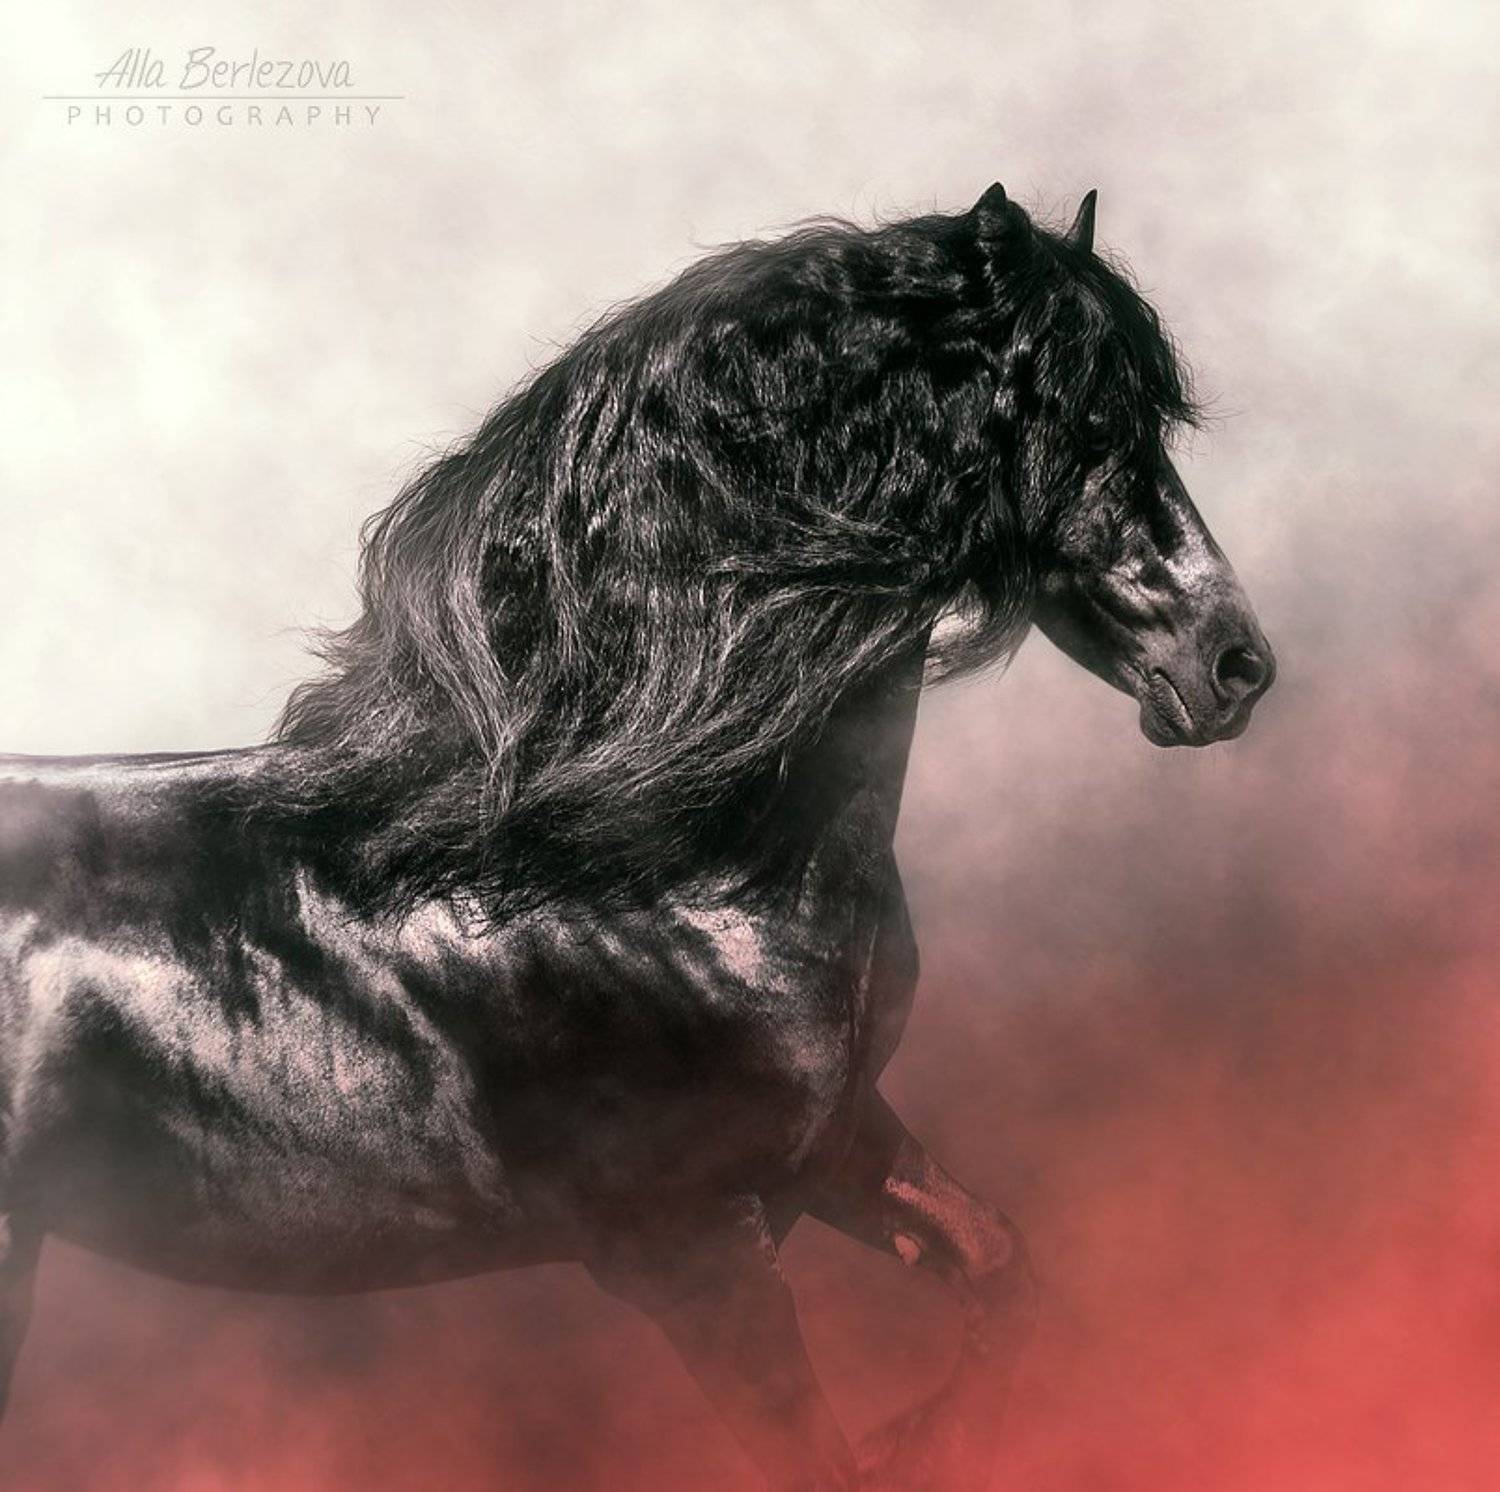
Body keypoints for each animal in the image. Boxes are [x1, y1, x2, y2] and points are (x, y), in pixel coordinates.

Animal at [0, 182, 1273, 1490]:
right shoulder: (689, 1253)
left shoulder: (835, 1145)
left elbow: (998, 1267)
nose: (1235, 666)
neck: (657, 873)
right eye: (1086, 420)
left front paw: (927, 1437)